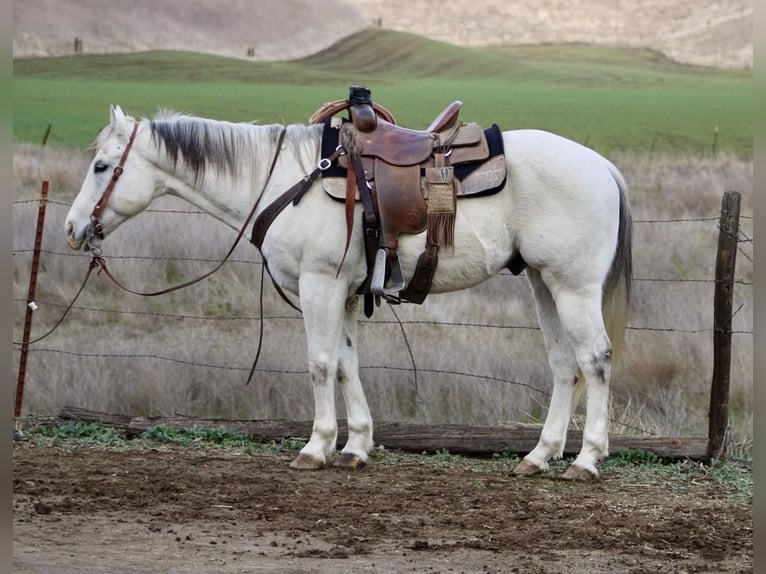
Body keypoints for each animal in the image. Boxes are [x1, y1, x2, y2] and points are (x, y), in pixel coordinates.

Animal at [66, 104, 632, 482]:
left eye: (101, 166)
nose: (73, 229)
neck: (287, 182)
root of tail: (603, 167)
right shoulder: (344, 293)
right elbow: (345, 364)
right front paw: (356, 445)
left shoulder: (320, 285)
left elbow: (319, 364)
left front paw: (316, 447)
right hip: (543, 282)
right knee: (564, 364)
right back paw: (540, 455)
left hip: (573, 287)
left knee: (596, 359)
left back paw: (587, 460)